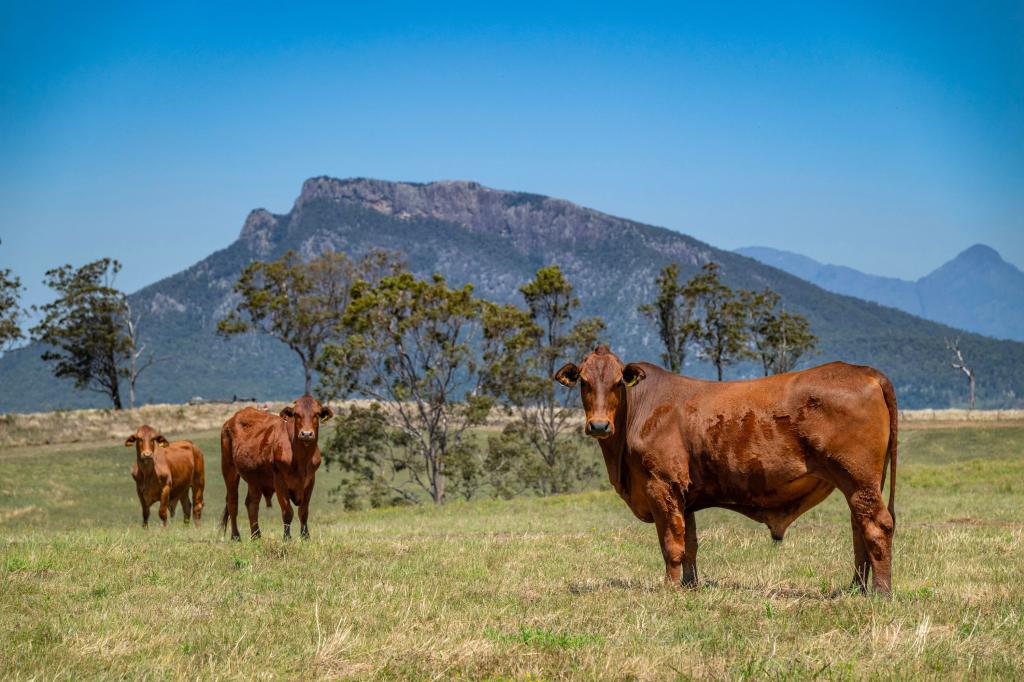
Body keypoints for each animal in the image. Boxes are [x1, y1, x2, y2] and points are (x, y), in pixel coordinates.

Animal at [219, 395, 331, 540]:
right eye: (296, 414)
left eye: (316, 414)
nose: (306, 434)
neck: (301, 459)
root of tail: (230, 420)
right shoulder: (279, 481)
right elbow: (287, 511)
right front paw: (287, 538)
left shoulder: (310, 480)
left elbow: (303, 511)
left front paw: (305, 536)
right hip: (229, 469)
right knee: (233, 502)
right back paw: (236, 536)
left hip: (254, 478)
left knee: (251, 504)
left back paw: (256, 536)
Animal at [552, 342, 897, 593]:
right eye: (584, 382)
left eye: (616, 383)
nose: (599, 425)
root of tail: (864, 372)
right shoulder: (684, 495)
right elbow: (689, 544)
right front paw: (690, 586)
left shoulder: (661, 485)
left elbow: (671, 544)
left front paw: (670, 589)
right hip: (861, 484)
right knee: (858, 527)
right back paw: (856, 588)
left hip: (858, 479)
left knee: (877, 526)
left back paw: (880, 592)